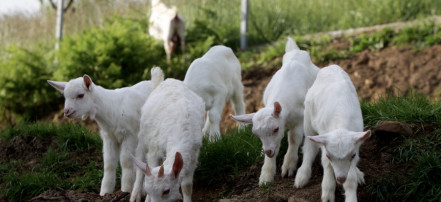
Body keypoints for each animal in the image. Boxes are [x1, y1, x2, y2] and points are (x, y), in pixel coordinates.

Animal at [130, 67, 204, 201]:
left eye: (166, 191)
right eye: (148, 190)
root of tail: (166, 81)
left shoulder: (193, 155)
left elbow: (187, 186)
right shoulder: (154, 149)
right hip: (143, 134)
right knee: (140, 158)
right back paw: (136, 194)